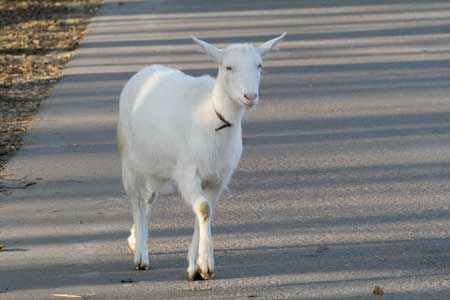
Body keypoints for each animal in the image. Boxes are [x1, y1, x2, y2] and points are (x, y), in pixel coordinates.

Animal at [116, 34, 284, 280]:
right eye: (228, 67)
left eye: (259, 65)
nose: (250, 96)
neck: (212, 115)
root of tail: (145, 71)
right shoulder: (188, 172)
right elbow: (204, 209)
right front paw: (206, 266)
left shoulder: (218, 178)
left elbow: (205, 211)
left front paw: (195, 267)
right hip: (130, 163)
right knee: (136, 202)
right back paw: (141, 257)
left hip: (156, 166)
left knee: (148, 200)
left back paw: (135, 241)